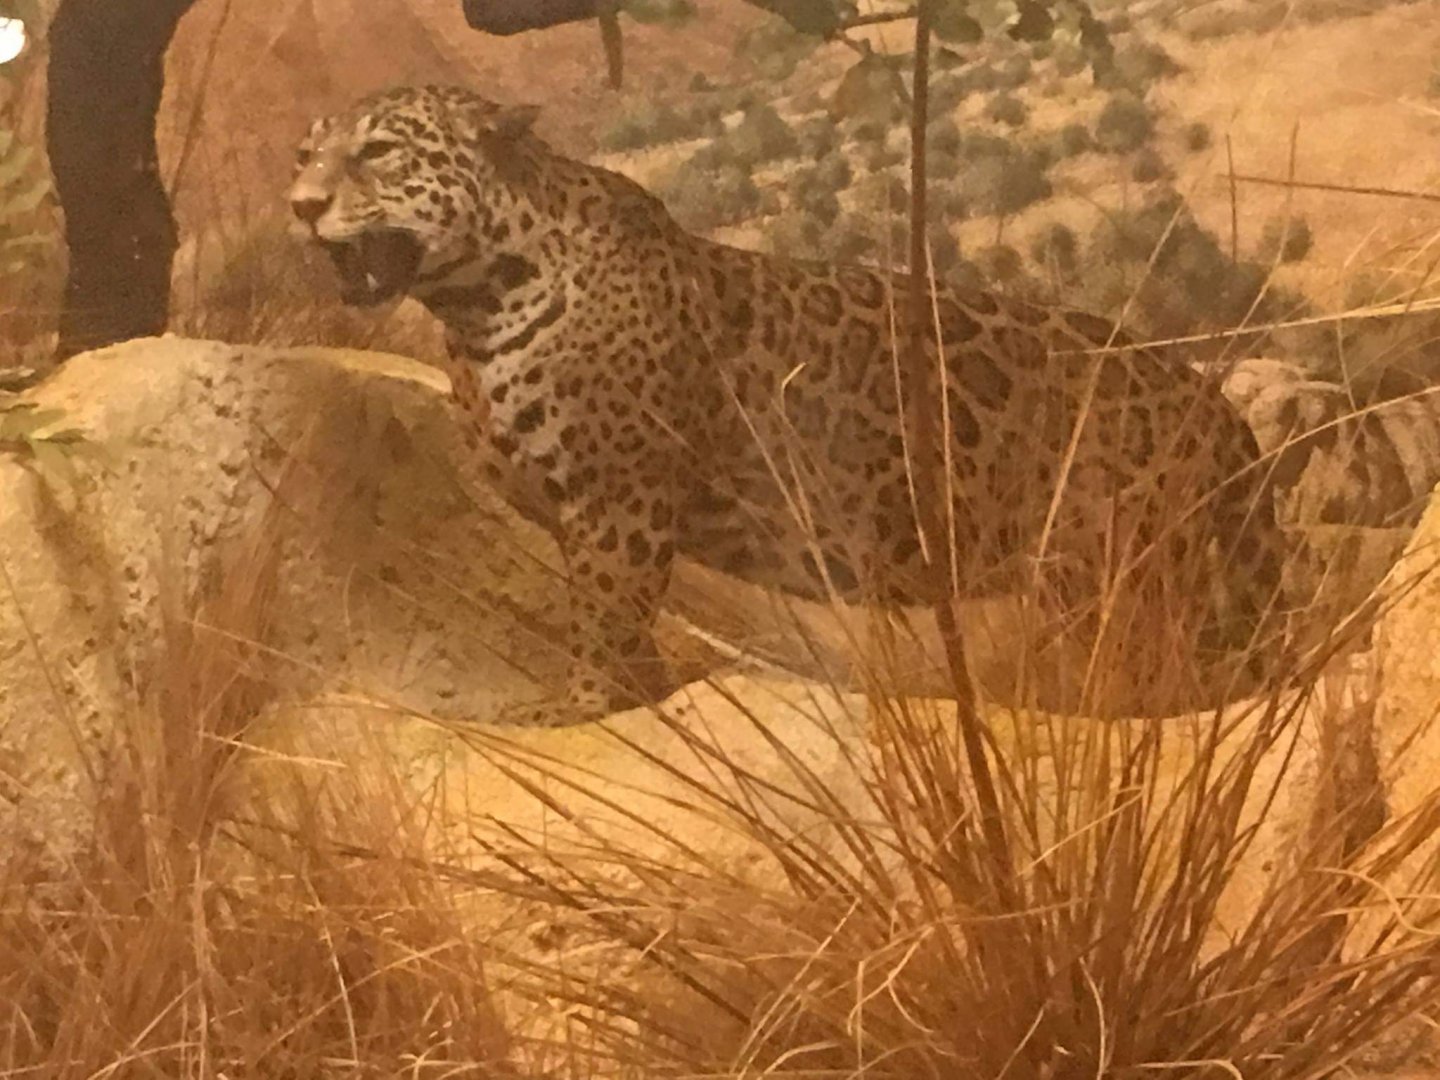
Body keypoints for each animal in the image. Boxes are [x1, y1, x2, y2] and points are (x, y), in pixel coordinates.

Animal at [287, 84, 1289, 724]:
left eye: (377, 152)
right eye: (304, 153)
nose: (299, 203)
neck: (472, 303)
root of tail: (1207, 397)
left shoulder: (619, 498)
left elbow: (605, 615)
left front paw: (580, 704)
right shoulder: (574, 509)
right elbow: (616, 619)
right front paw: (636, 692)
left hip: (1119, 567)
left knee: (1172, 672)